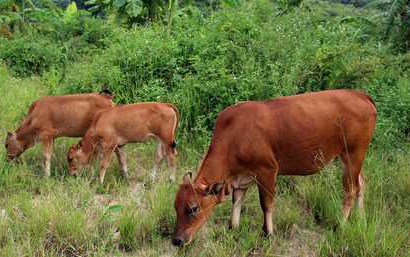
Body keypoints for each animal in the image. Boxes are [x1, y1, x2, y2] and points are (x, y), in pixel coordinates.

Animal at [171, 89, 376, 245]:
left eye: (193, 208)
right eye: (175, 207)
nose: (177, 240)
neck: (234, 136)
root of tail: (360, 94)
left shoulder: (267, 171)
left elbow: (266, 204)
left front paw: (268, 233)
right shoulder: (241, 178)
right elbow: (237, 202)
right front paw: (232, 229)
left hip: (353, 154)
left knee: (350, 190)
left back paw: (340, 226)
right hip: (352, 158)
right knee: (361, 184)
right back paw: (362, 219)